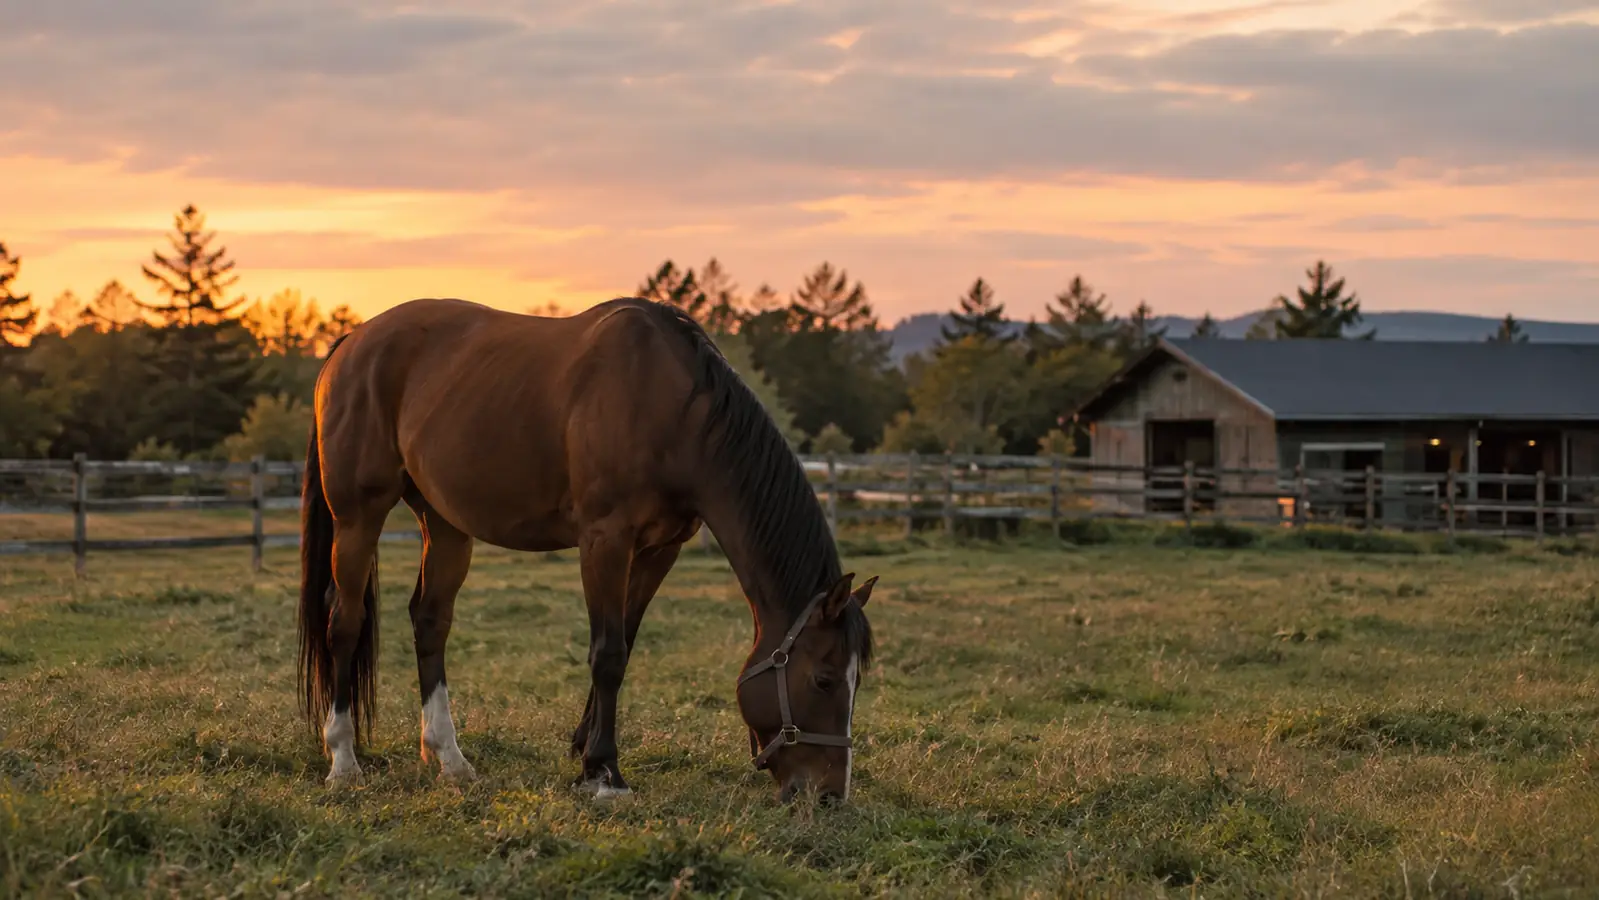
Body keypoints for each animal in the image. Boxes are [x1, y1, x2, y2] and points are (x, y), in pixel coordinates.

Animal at [296, 296, 878, 803]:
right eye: (824, 679)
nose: (830, 795)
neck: (669, 407)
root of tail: (351, 343)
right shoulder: (605, 540)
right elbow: (609, 652)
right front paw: (605, 773)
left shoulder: (659, 550)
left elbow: (625, 641)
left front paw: (584, 753)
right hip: (358, 516)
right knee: (344, 620)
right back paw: (343, 761)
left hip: (444, 524)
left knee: (430, 622)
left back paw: (450, 758)